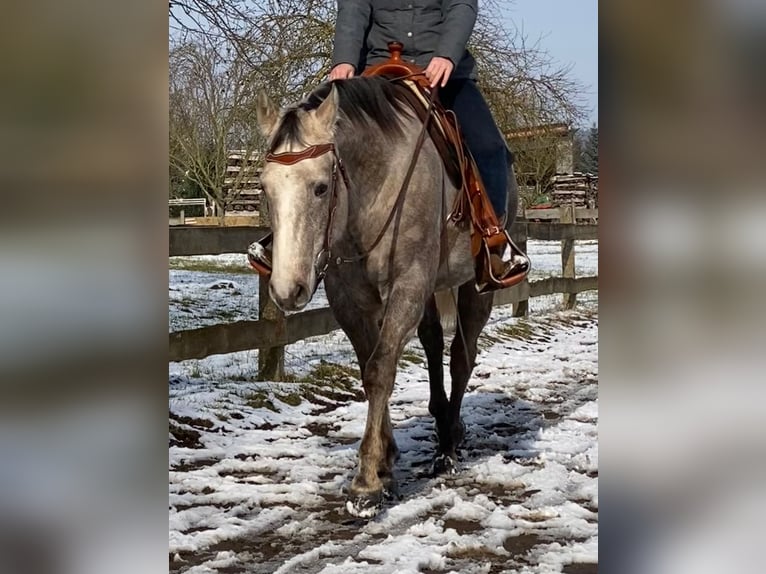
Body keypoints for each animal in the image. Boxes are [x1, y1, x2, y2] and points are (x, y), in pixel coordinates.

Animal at [255, 76, 518, 518]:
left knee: (461, 358)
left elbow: (381, 370)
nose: (287, 290)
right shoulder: (350, 296)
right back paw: (442, 422)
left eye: (321, 187)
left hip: (476, 286)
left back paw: (448, 445)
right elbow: (372, 367)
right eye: (265, 188)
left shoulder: (407, 283)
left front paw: (366, 483)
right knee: (433, 344)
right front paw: (386, 463)